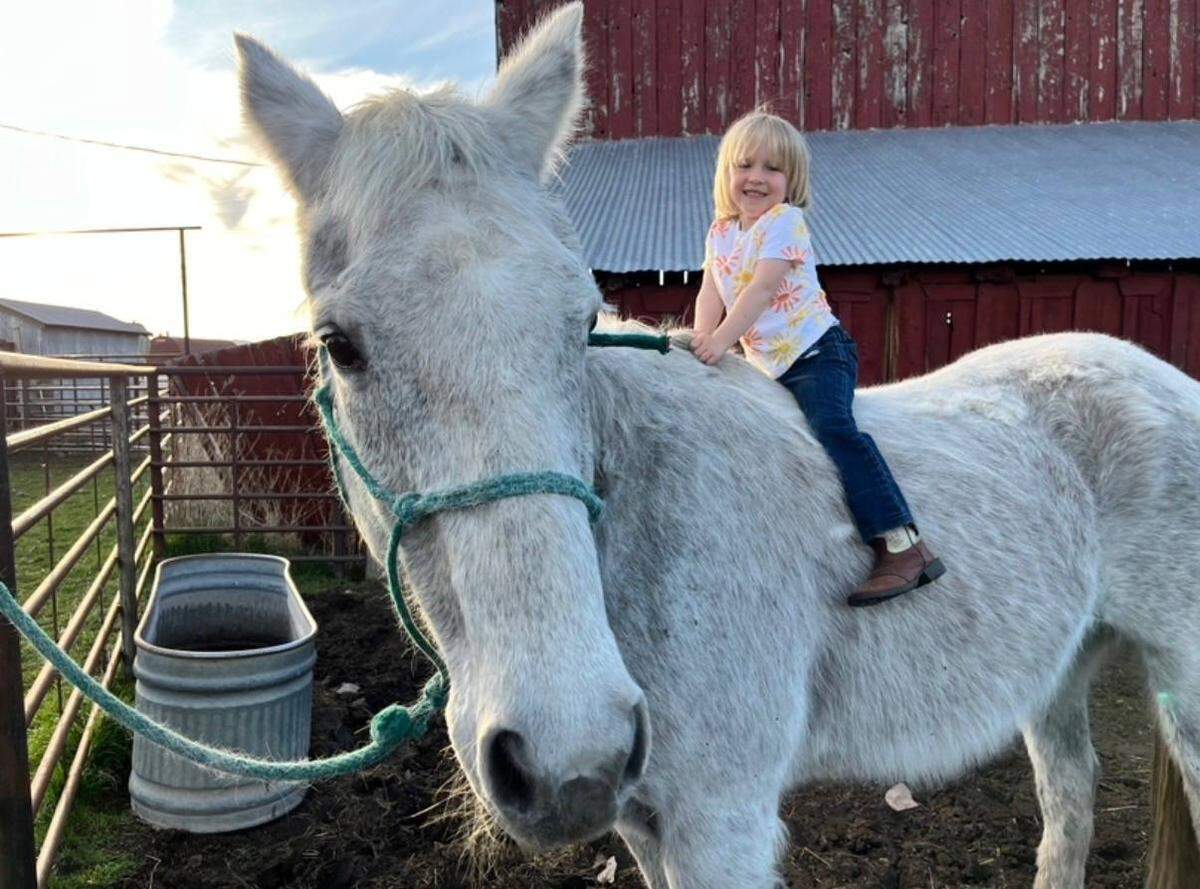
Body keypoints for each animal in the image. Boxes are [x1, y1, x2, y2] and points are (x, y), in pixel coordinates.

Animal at [234, 5, 1200, 886]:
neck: (644, 537)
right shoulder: (643, 819)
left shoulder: (721, 821)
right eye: (339, 345)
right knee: (1070, 800)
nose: (564, 757)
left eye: (580, 319)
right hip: (1060, 673)